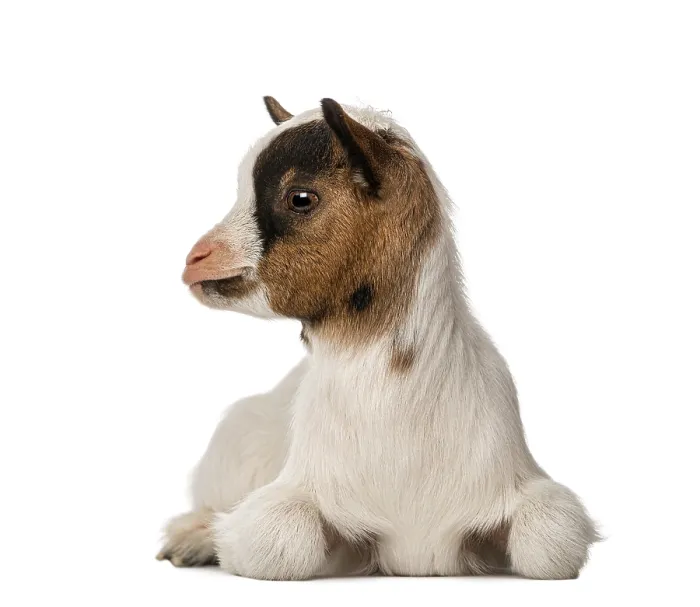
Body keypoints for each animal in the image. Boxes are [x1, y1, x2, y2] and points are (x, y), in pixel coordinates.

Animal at [157, 97, 598, 580]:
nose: (197, 259)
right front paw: (208, 539)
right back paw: (189, 538)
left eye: (301, 198)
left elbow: (550, 542)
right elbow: (279, 540)